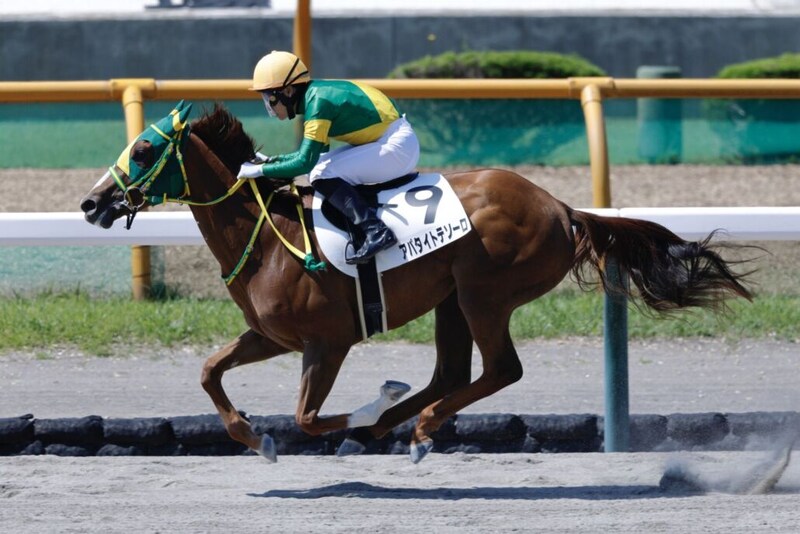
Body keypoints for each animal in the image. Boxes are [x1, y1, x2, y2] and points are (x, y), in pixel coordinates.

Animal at [80, 101, 753, 462]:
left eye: (143, 149)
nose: (90, 204)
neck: (269, 236)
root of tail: (559, 207)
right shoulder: (271, 336)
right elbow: (209, 371)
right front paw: (253, 436)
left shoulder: (328, 343)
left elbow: (308, 417)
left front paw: (361, 412)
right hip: (451, 298)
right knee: (452, 373)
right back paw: (404, 424)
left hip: (485, 293)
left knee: (500, 370)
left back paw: (416, 425)